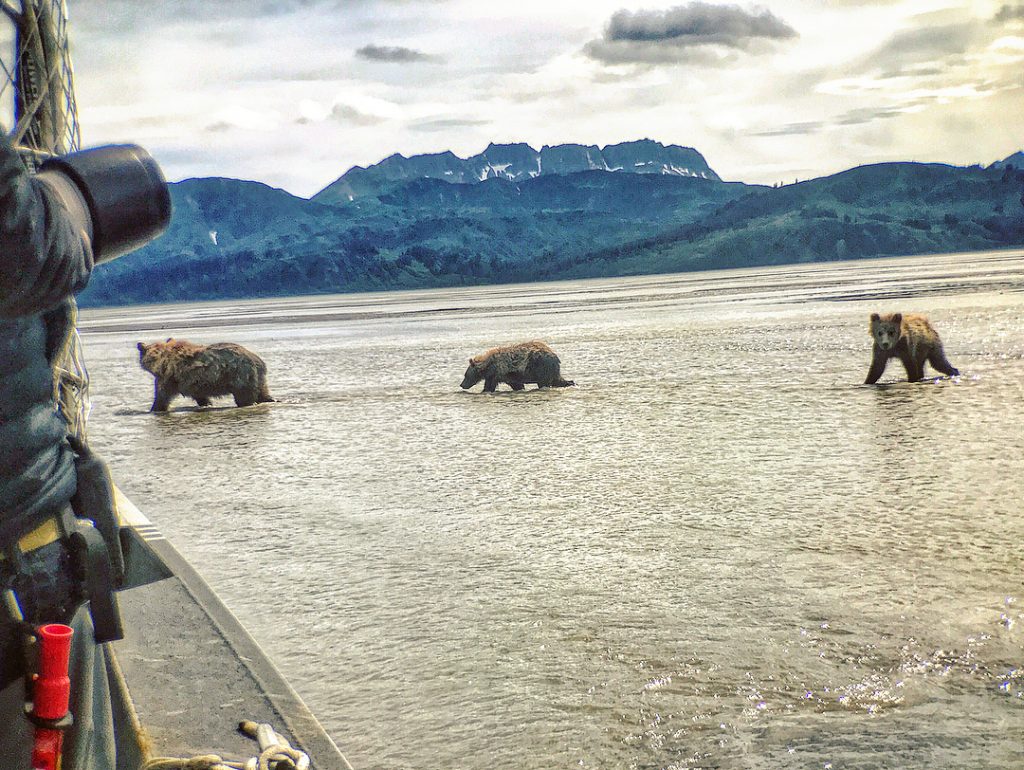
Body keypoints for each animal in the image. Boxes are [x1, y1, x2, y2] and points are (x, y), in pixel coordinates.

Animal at [137, 338, 275, 412]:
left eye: (153, 357)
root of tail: (257, 360)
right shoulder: (192, 382)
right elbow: (199, 395)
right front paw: (206, 403)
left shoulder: (170, 377)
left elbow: (162, 396)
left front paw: (155, 408)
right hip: (256, 377)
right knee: (263, 392)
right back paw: (271, 399)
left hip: (240, 375)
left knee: (244, 396)